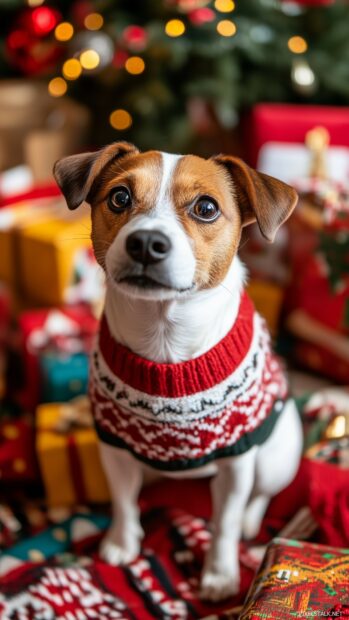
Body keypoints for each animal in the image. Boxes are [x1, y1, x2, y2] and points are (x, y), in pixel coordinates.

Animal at [53, 144, 302, 600]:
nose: (146, 243)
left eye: (206, 208)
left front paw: (220, 575)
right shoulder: (115, 449)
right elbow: (123, 501)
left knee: (259, 495)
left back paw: (251, 521)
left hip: (275, 457)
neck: (165, 337)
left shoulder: (236, 464)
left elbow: (223, 524)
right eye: (119, 197)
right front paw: (122, 542)